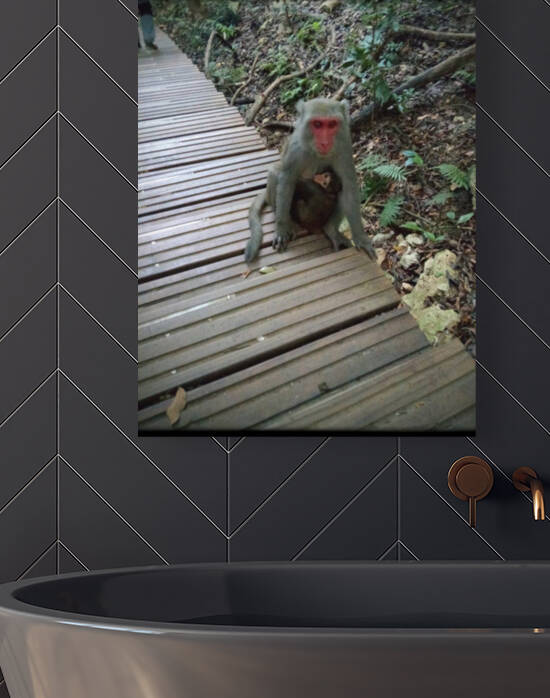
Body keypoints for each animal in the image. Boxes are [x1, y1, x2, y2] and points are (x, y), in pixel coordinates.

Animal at [245, 98, 375, 263]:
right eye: (317, 124)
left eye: (332, 124)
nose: (325, 142)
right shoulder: (296, 148)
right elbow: (287, 180)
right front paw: (281, 228)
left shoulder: (344, 145)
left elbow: (348, 186)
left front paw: (360, 237)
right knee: (275, 174)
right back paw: (290, 222)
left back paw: (330, 229)